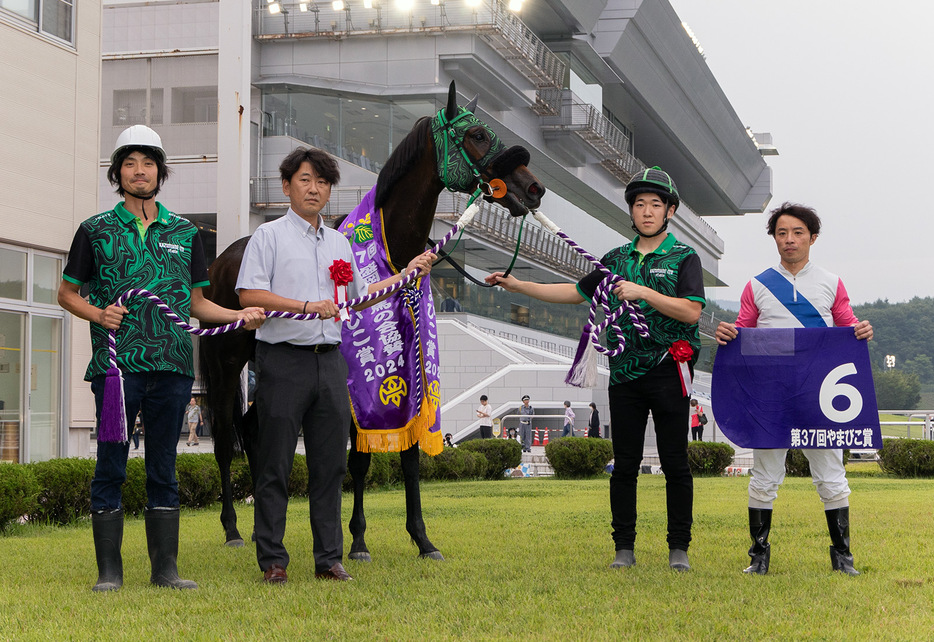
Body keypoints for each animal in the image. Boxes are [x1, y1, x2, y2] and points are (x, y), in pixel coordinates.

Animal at [201, 81, 544, 560]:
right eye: (477, 134)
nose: (533, 188)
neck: (390, 255)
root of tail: (221, 263)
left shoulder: (411, 372)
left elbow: (409, 457)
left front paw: (422, 538)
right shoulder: (356, 386)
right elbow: (359, 460)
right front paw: (358, 540)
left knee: (252, 430)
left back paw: (257, 528)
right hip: (225, 365)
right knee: (223, 439)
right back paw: (233, 529)